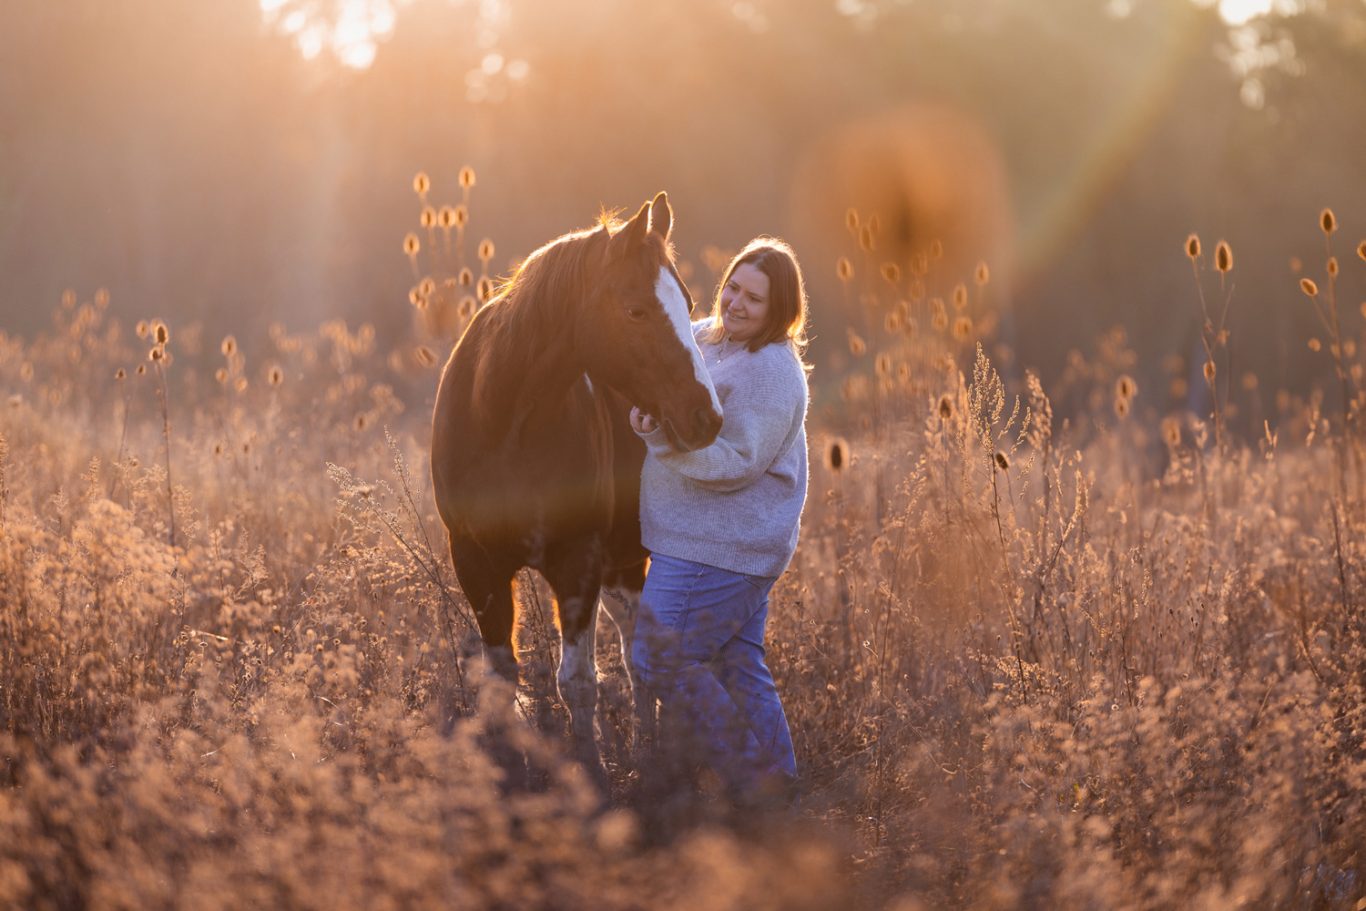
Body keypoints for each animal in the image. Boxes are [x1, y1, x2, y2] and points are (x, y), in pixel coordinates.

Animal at [431, 192, 722, 774]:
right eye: (635, 310)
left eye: (687, 303)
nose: (706, 417)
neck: (505, 423)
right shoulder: (474, 562)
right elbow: (502, 677)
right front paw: (506, 772)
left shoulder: (576, 561)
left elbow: (579, 682)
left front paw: (592, 771)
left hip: (626, 563)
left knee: (636, 659)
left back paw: (646, 751)